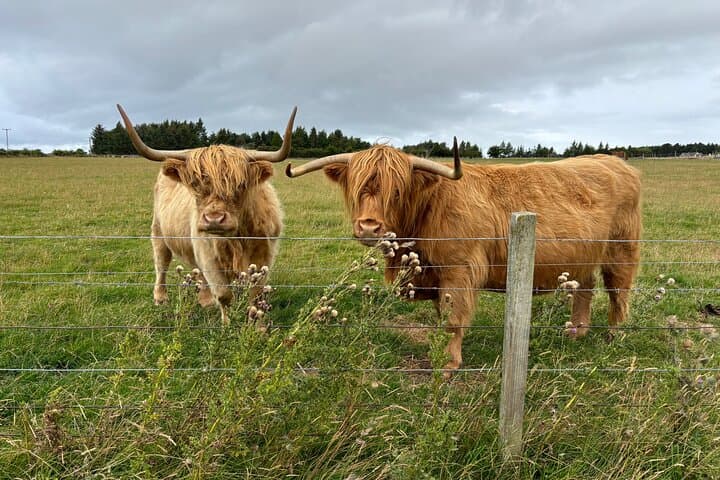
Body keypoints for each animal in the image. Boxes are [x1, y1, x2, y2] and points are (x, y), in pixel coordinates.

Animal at [117, 104, 297, 323]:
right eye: (195, 184)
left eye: (240, 185)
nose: (214, 220)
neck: (237, 238)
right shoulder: (208, 255)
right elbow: (224, 295)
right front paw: (227, 326)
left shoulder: (264, 255)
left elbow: (256, 295)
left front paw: (258, 325)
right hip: (159, 232)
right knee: (161, 263)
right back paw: (161, 298)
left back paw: (205, 300)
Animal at [285, 140, 641, 372]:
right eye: (359, 188)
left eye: (397, 191)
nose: (369, 226)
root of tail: (615, 161)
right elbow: (440, 316)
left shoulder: (459, 270)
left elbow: (453, 319)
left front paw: (449, 363)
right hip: (584, 256)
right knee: (586, 287)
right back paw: (576, 332)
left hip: (621, 249)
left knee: (618, 291)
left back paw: (612, 336)